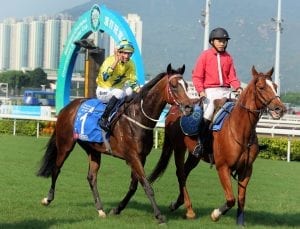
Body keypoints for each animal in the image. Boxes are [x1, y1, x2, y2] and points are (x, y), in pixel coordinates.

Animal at [36, 63, 193, 225]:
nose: (189, 107)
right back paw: (47, 199)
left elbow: (134, 185)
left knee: (91, 177)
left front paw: (117, 209)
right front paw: (159, 215)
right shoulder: (132, 156)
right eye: (174, 85)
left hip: (92, 149)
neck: (137, 117)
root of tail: (66, 108)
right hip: (65, 144)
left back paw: (100, 209)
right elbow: (146, 185)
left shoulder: (140, 157)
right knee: (56, 169)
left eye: (186, 85)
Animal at [149, 66, 288, 225]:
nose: (280, 109)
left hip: (195, 155)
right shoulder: (223, 167)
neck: (239, 129)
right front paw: (216, 214)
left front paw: (240, 222)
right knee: (181, 173)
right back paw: (189, 210)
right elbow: (231, 199)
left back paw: (178, 203)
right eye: (261, 87)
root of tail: (173, 109)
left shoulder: (247, 169)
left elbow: (241, 198)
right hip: (179, 148)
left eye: (275, 86)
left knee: (185, 171)